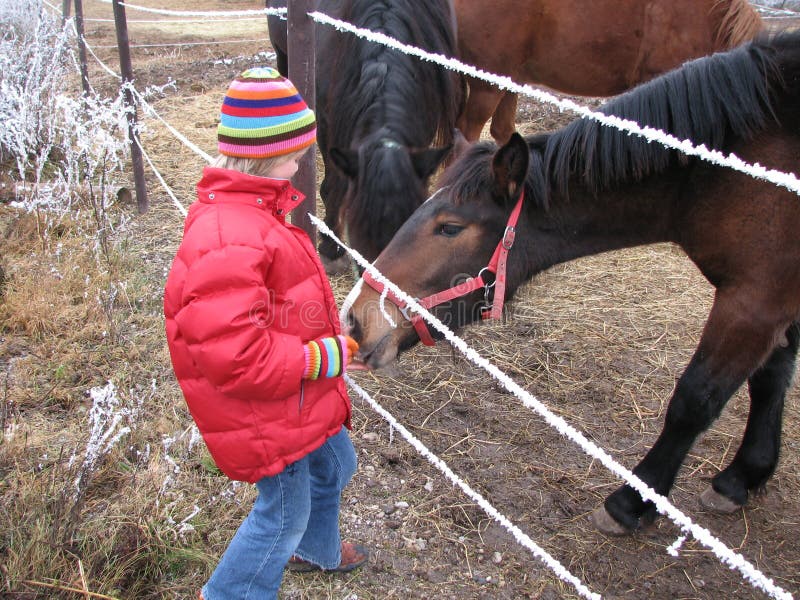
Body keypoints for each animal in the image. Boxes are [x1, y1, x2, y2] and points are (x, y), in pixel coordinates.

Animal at [346, 31, 800, 536]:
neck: (727, 175)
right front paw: (743, 476)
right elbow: (771, 378)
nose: (357, 317)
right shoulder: (777, 300)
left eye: (449, 227)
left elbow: (695, 400)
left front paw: (631, 502)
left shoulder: (754, 299)